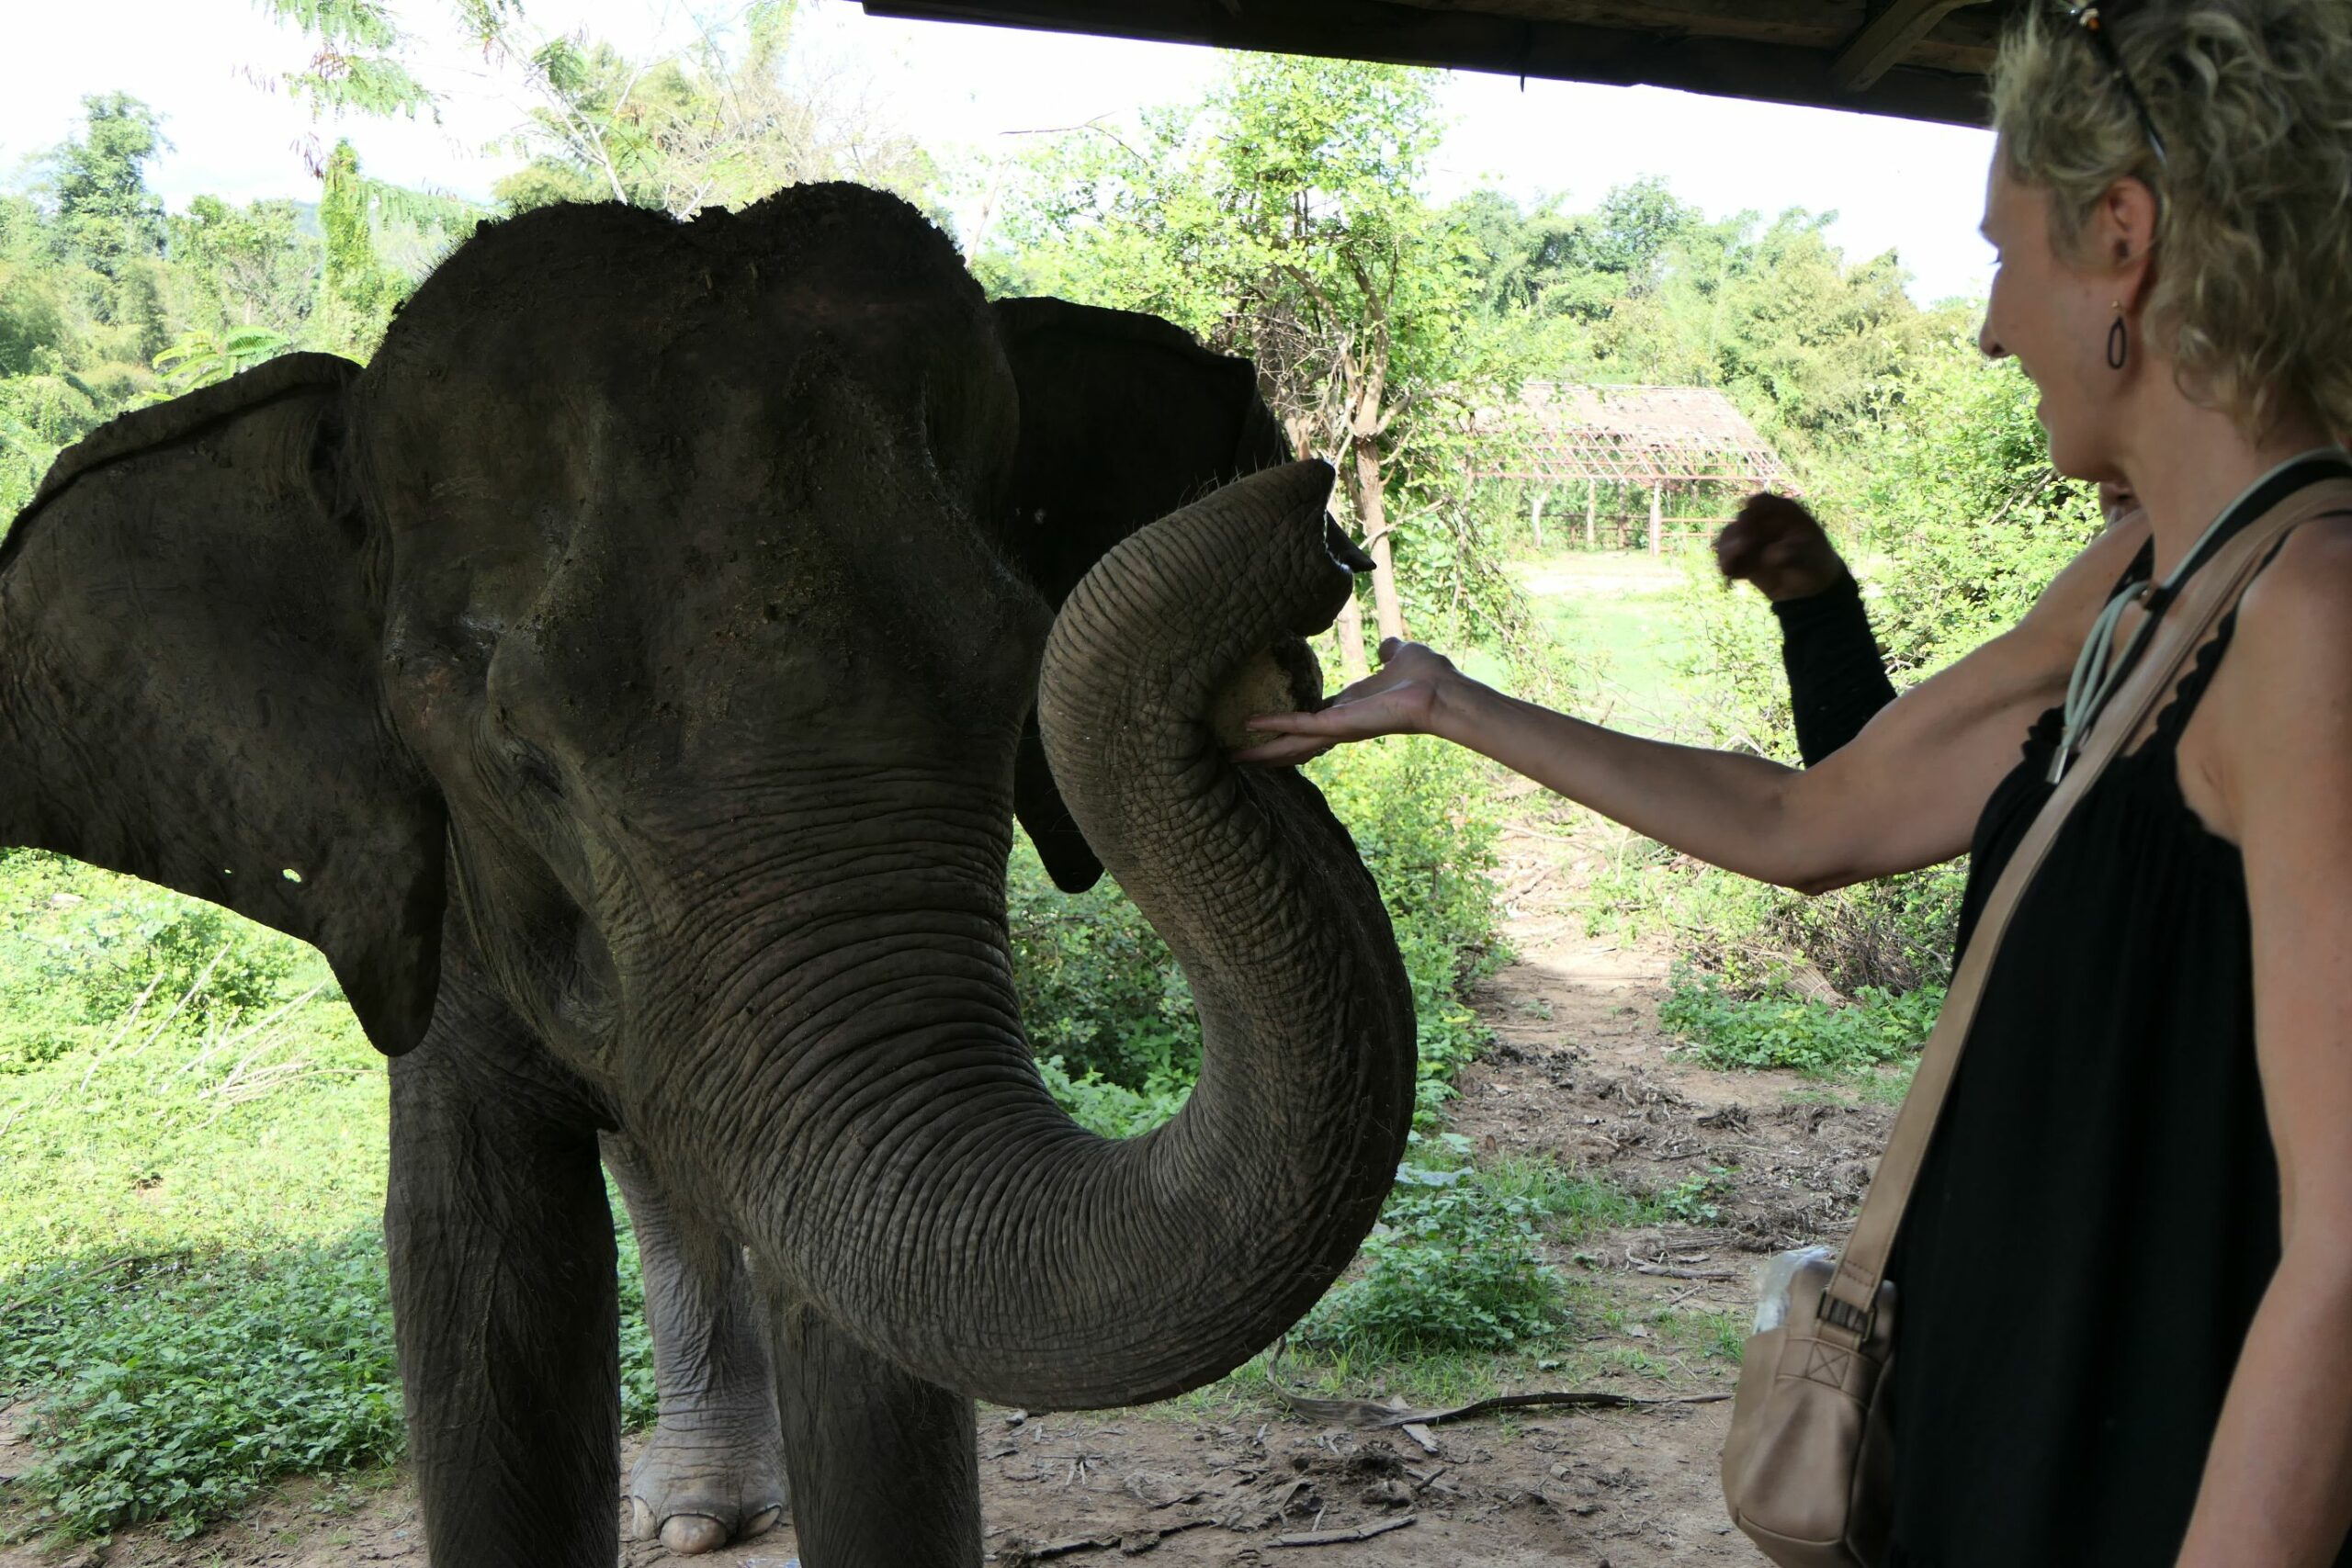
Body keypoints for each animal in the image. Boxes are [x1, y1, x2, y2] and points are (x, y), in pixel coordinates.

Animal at [0, 182, 1417, 1568]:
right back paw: (690, 1516)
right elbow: (479, 1271)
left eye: (1020, 681)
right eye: (523, 762)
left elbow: (853, 1322)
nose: (1317, 528)